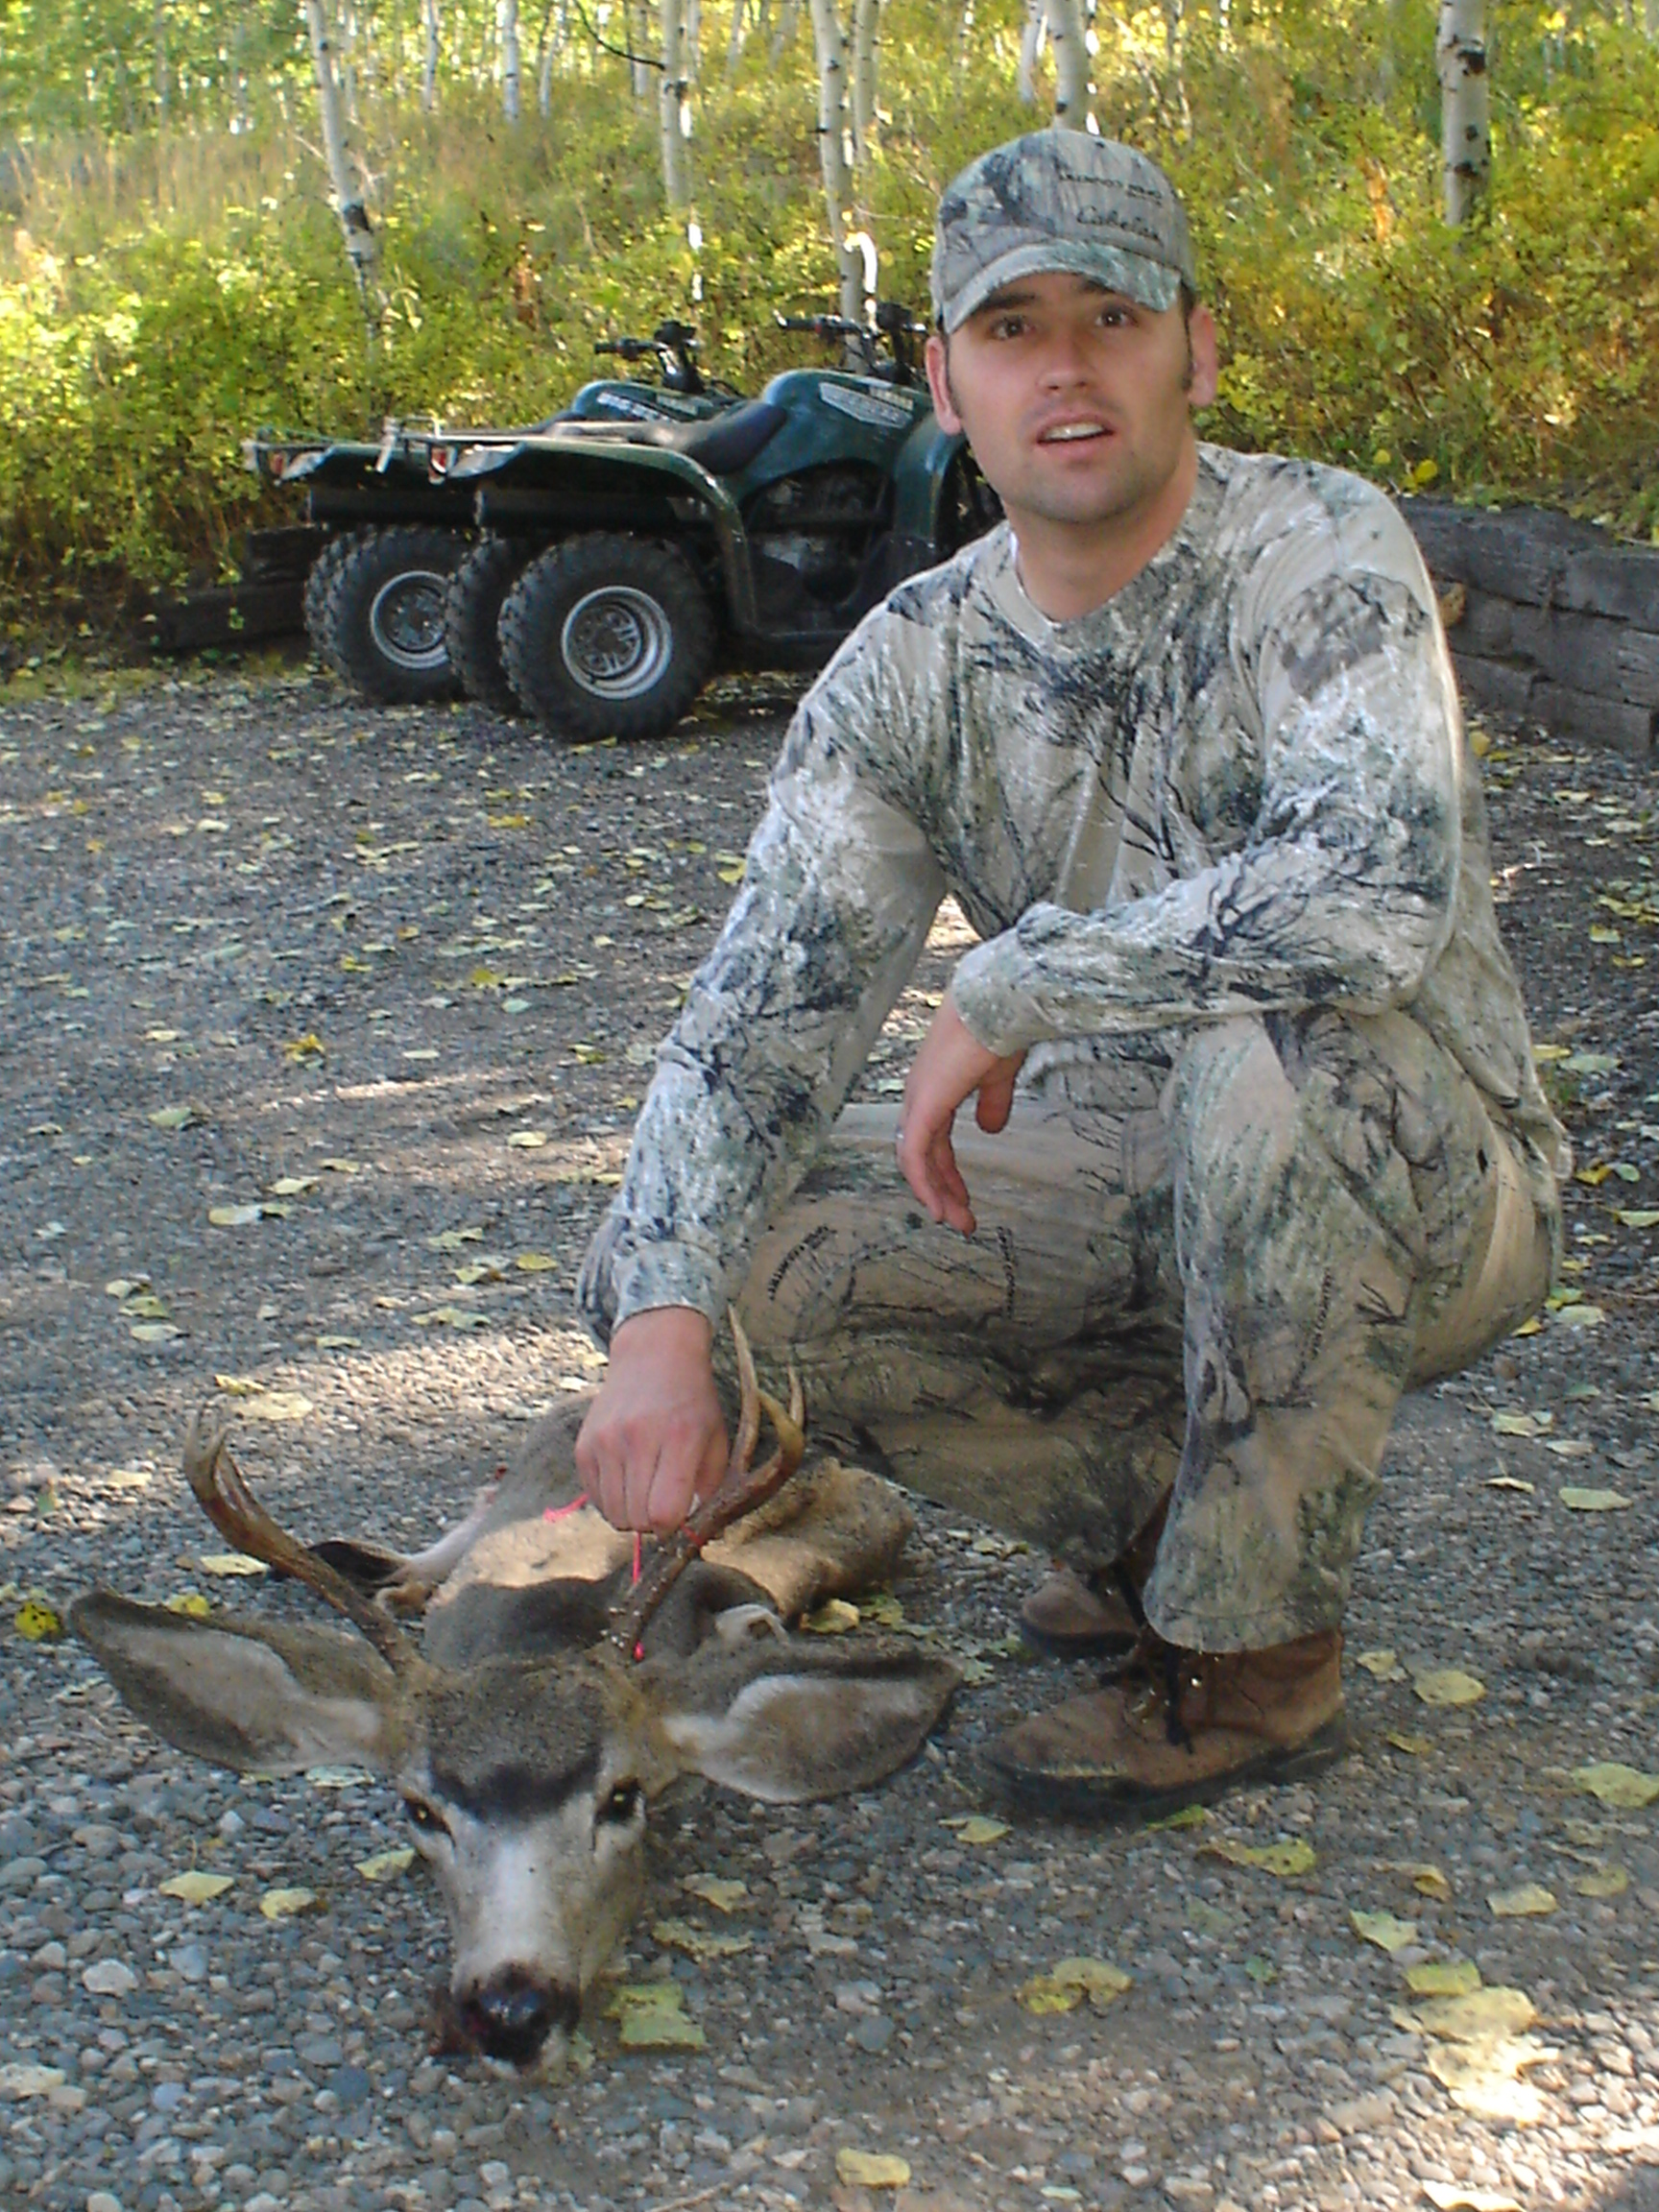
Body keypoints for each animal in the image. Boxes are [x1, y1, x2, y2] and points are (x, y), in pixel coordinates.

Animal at [71, 1318, 959, 2061]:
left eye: (621, 1798)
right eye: (418, 1810)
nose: (512, 2010)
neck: (542, 1628)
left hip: (864, 1517)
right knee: (471, 1507)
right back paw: (384, 1572)